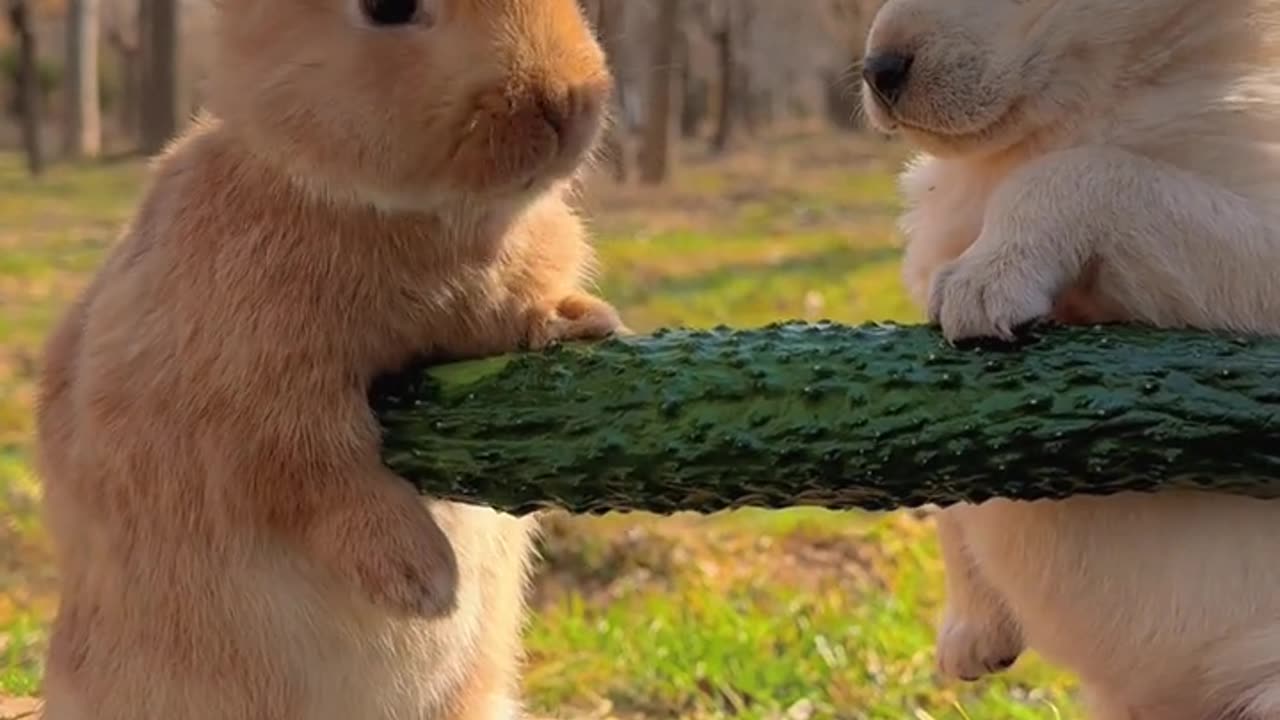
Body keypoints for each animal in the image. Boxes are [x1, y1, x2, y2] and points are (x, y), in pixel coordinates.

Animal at [32, 1, 622, 717]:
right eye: (389, 9)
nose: (565, 100)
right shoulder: (263, 400)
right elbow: (327, 480)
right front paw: (426, 584)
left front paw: (583, 321)